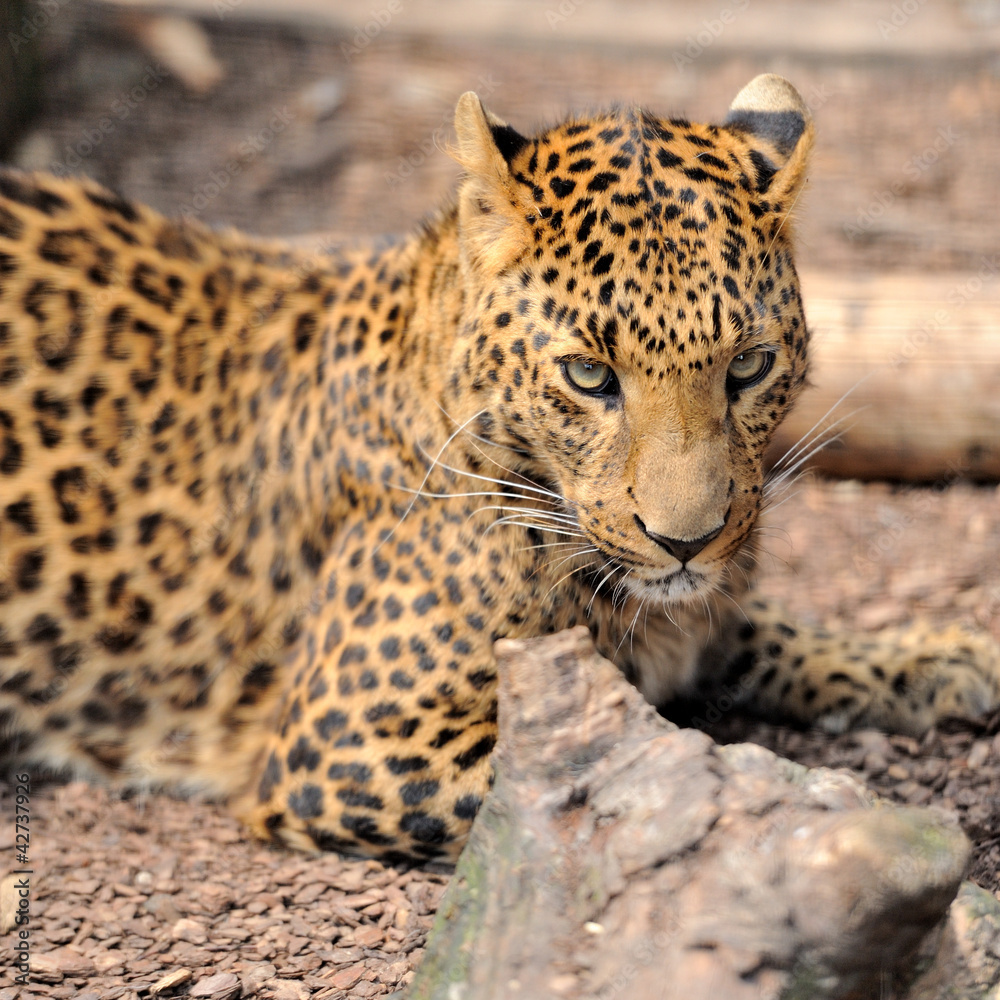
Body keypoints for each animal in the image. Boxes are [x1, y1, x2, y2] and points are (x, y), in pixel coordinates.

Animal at [0, 74, 997, 863]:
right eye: (590, 376)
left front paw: (938, 658)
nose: (687, 541)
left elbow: (757, 630)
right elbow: (635, 763)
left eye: (748, 365)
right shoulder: (352, 742)